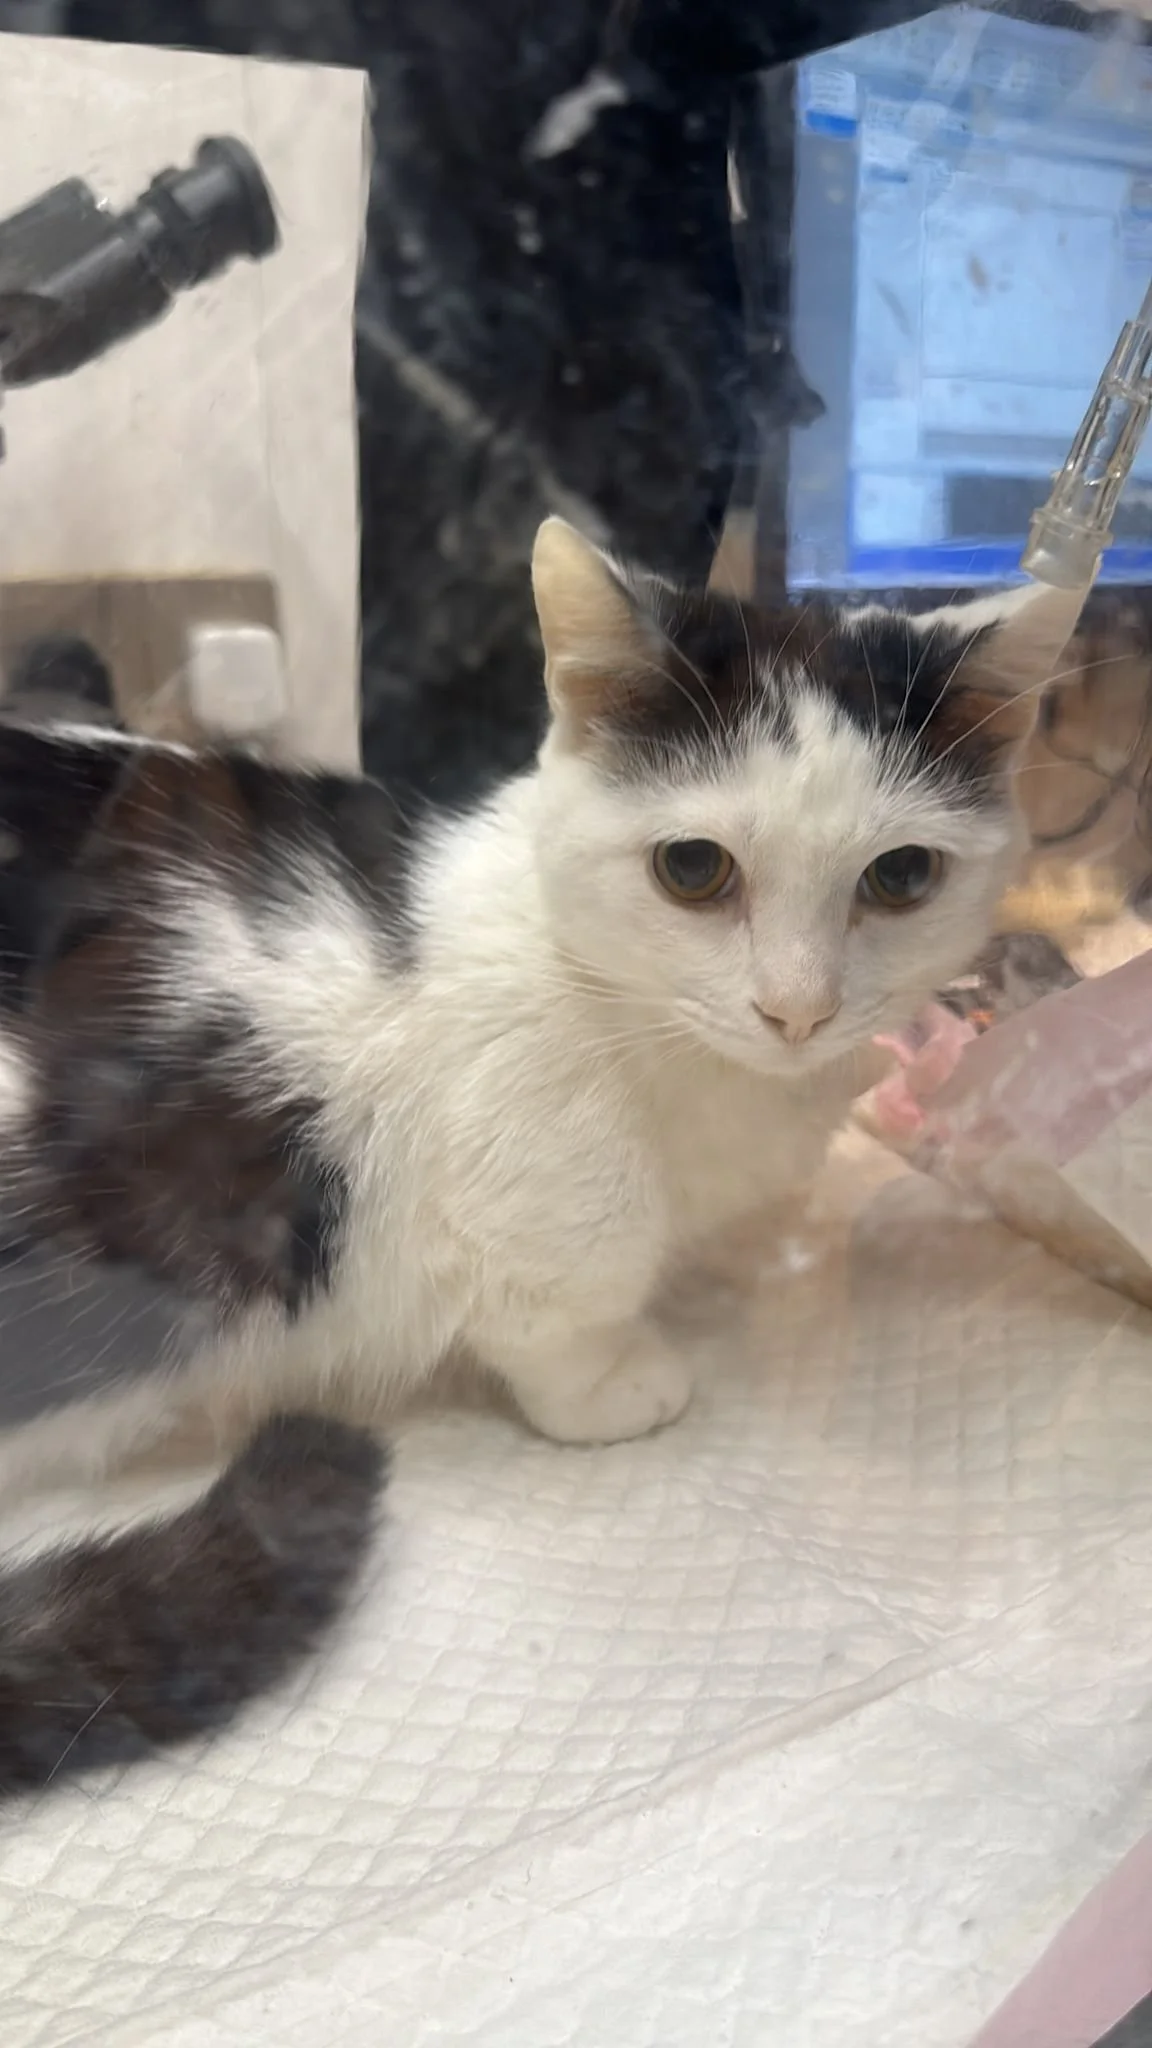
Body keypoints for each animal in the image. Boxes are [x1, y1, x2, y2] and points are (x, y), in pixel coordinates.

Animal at [0, 517, 1088, 1791]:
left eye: (903, 875)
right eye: (694, 868)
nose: (798, 1010)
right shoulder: (544, 1194)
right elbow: (565, 1303)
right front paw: (615, 1381)